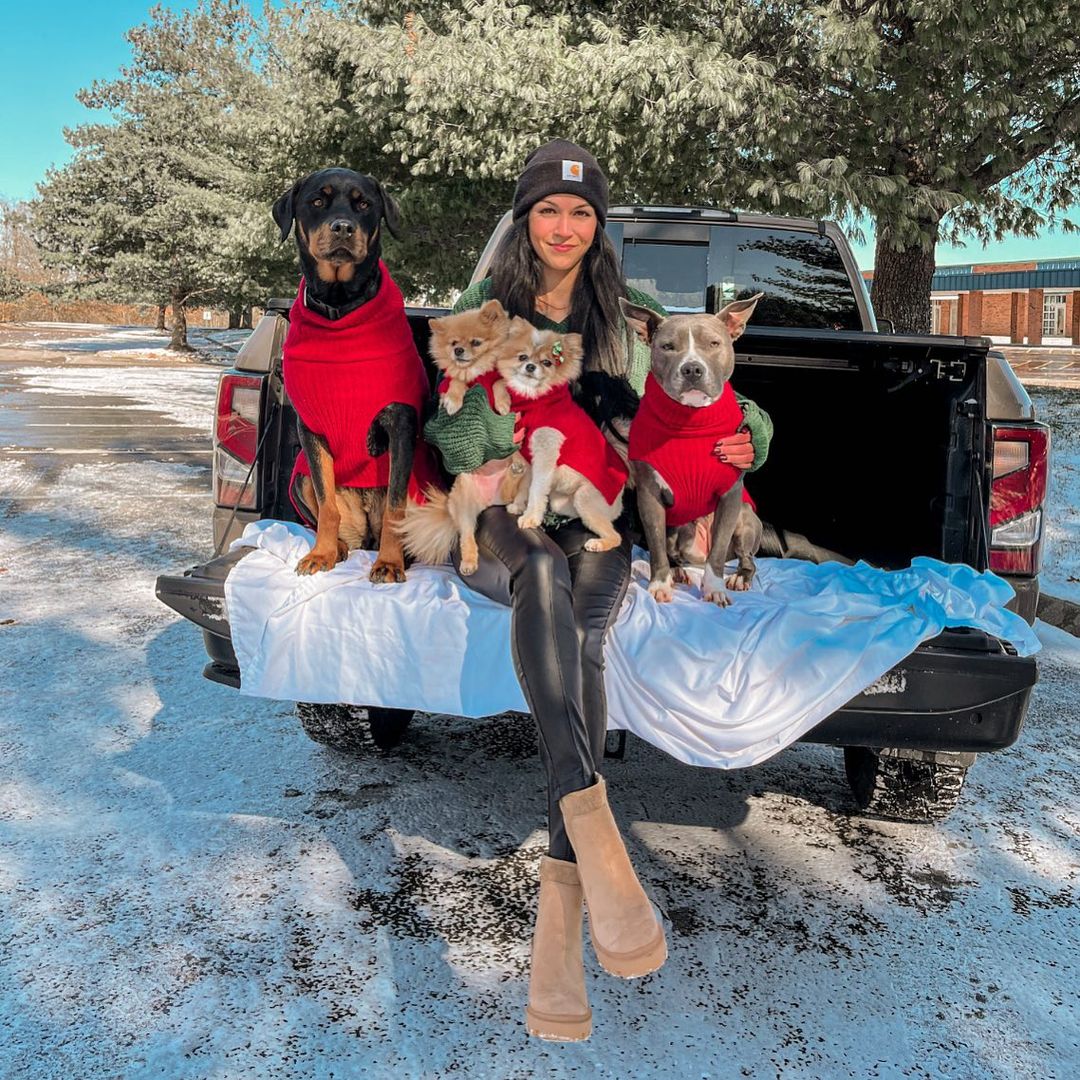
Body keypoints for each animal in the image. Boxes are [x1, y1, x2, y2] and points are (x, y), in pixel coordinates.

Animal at [270, 167, 429, 583]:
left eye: (364, 204)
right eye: (317, 201)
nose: (342, 227)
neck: (340, 307)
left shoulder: (399, 420)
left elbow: (395, 507)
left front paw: (389, 563)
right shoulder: (310, 429)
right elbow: (327, 504)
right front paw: (321, 553)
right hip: (298, 478)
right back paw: (340, 547)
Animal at [622, 293, 764, 609]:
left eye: (713, 343)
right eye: (667, 346)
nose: (692, 369)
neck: (690, 420)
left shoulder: (730, 496)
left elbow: (718, 553)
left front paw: (714, 589)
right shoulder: (649, 496)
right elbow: (656, 549)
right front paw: (659, 585)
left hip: (745, 518)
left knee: (748, 560)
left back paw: (740, 578)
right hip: (676, 528)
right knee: (672, 552)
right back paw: (677, 572)